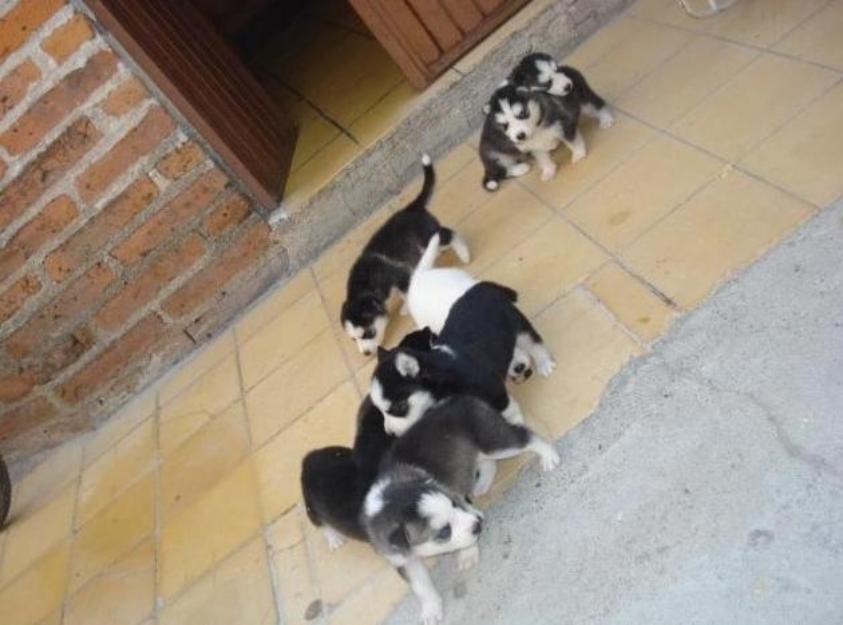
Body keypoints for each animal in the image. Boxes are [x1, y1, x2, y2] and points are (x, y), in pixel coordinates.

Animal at [362, 394, 560, 624]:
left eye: (454, 504)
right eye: (444, 532)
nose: (479, 525)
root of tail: (458, 398)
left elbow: (466, 530)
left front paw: (467, 553)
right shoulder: (401, 558)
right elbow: (421, 586)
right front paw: (431, 608)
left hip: (494, 441)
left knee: (526, 437)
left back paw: (548, 455)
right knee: (487, 463)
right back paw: (482, 483)